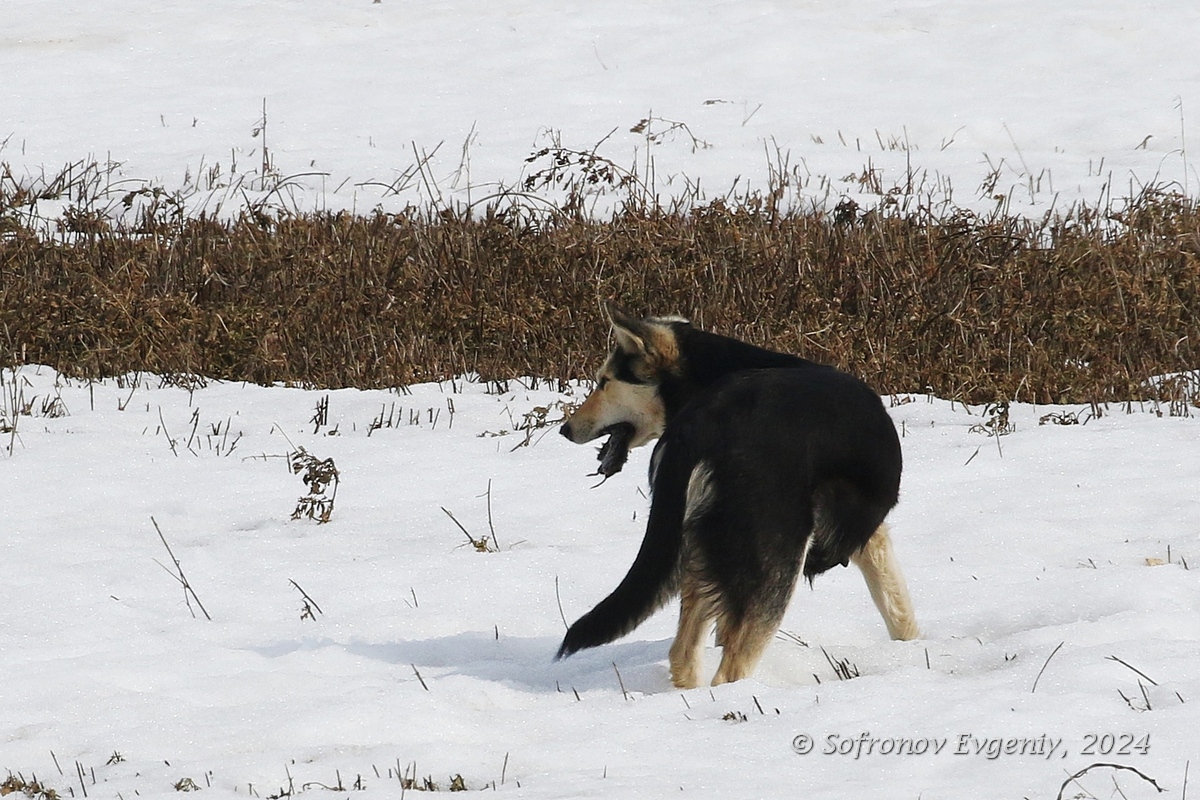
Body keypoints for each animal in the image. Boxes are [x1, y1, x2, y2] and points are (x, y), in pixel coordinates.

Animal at [554, 303, 916, 690]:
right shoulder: (870, 538)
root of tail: (703, 425)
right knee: (732, 669)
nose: (564, 429)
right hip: (775, 563)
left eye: (604, 382)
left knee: (683, 655)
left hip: (701, 558)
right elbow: (900, 610)